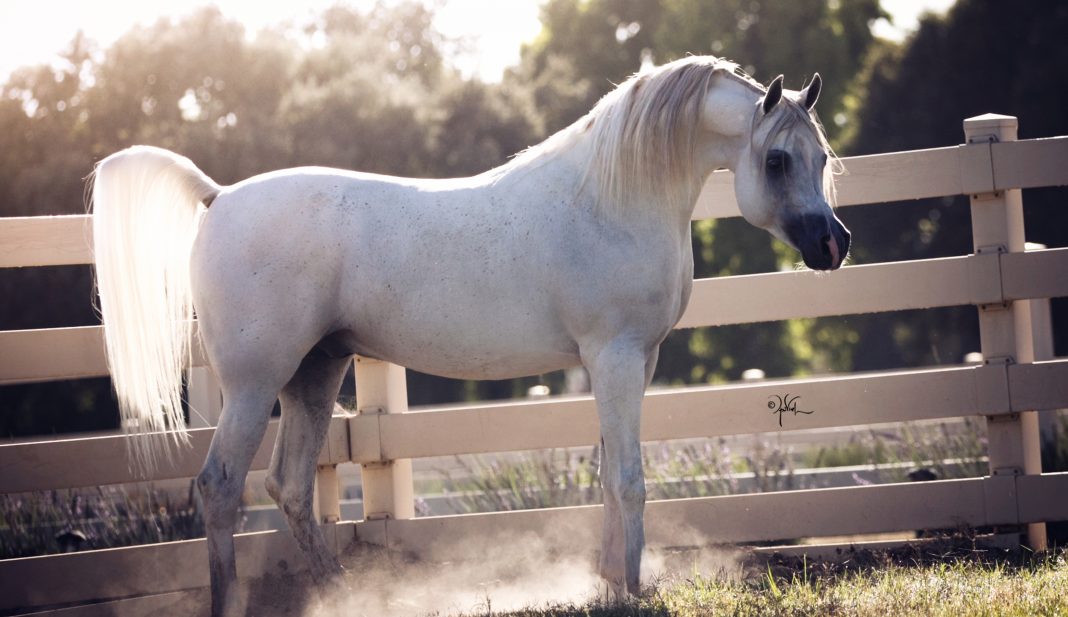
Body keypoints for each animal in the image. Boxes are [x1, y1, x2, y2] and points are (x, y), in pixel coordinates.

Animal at [87, 55, 845, 610]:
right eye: (777, 160)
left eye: (822, 157)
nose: (834, 245)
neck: (606, 199)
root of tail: (218, 196)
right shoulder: (618, 357)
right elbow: (630, 478)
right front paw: (631, 587)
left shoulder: (626, 363)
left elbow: (606, 474)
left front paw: (610, 580)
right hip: (254, 385)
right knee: (220, 487)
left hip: (315, 373)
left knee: (291, 487)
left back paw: (342, 594)